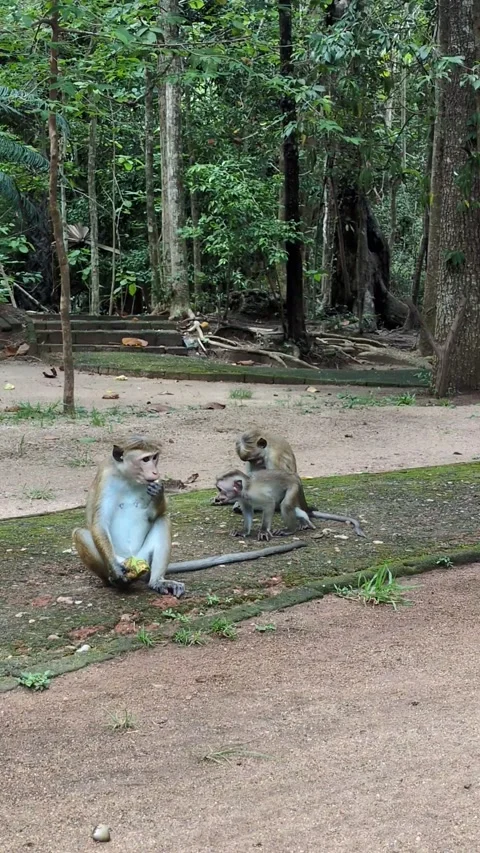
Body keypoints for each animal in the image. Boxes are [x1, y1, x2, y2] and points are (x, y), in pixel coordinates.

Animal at [215, 469, 366, 541]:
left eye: (220, 489)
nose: (218, 497)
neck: (245, 488)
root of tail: (295, 476)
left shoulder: (254, 494)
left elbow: (269, 504)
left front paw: (263, 531)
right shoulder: (242, 498)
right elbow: (247, 511)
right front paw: (244, 531)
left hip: (293, 487)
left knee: (285, 505)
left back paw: (290, 529)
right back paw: (304, 521)